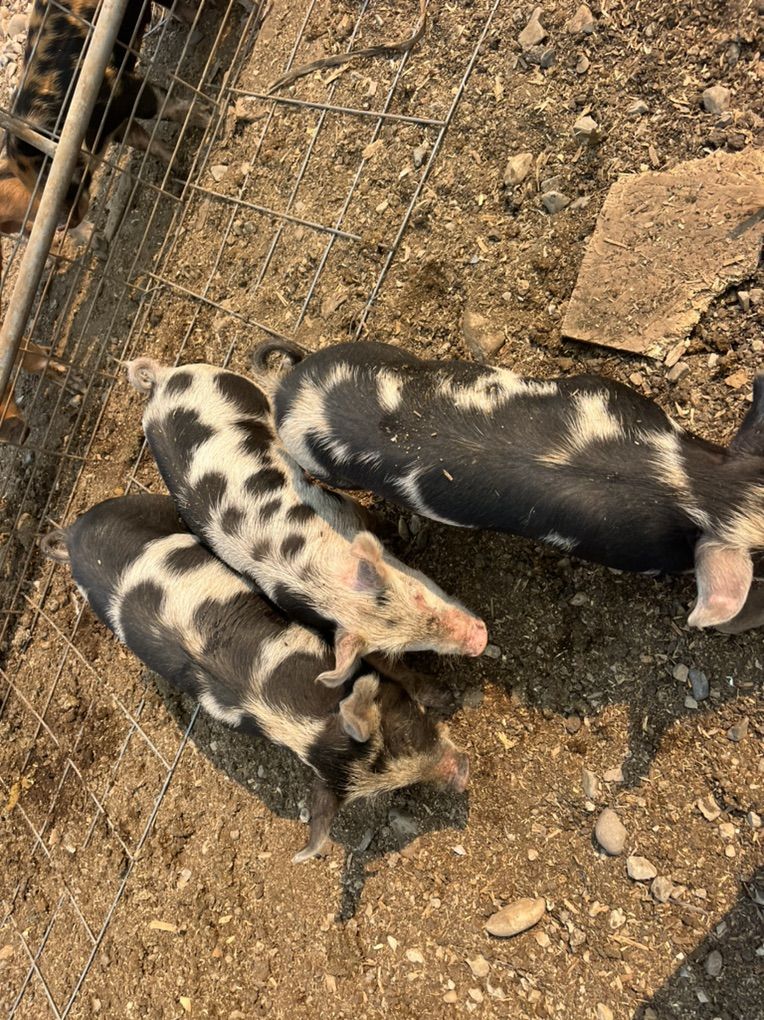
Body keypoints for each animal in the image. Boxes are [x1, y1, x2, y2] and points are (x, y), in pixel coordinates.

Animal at [0, 0, 204, 239]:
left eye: (48, 172)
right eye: (31, 186)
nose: (62, 226)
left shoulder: (118, 86)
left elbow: (160, 105)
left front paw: (209, 117)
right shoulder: (115, 124)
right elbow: (143, 141)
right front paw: (179, 167)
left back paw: (195, 19)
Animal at [125, 357, 487, 689]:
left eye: (417, 594)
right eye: (409, 647)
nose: (480, 641)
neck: (314, 572)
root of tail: (160, 383)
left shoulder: (339, 507)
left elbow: (373, 520)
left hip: (229, 382)